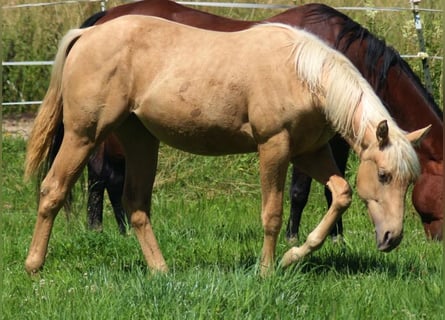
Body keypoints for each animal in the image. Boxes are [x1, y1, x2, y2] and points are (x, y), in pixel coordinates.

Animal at [24, 15, 426, 276]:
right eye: (384, 175)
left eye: (409, 182)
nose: (392, 238)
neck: (305, 76)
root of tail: (86, 33)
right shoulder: (274, 148)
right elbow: (272, 214)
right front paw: (266, 271)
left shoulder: (309, 152)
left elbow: (341, 194)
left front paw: (293, 256)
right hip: (83, 136)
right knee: (53, 190)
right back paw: (34, 266)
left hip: (140, 139)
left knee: (135, 205)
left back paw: (162, 271)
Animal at [78, 0, 442, 240]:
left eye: (410, 180)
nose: (437, 239)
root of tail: (104, 18)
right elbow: (301, 190)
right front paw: (297, 236)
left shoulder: (334, 139)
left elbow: (330, 186)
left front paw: (333, 237)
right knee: (105, 174)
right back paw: (110, 229)